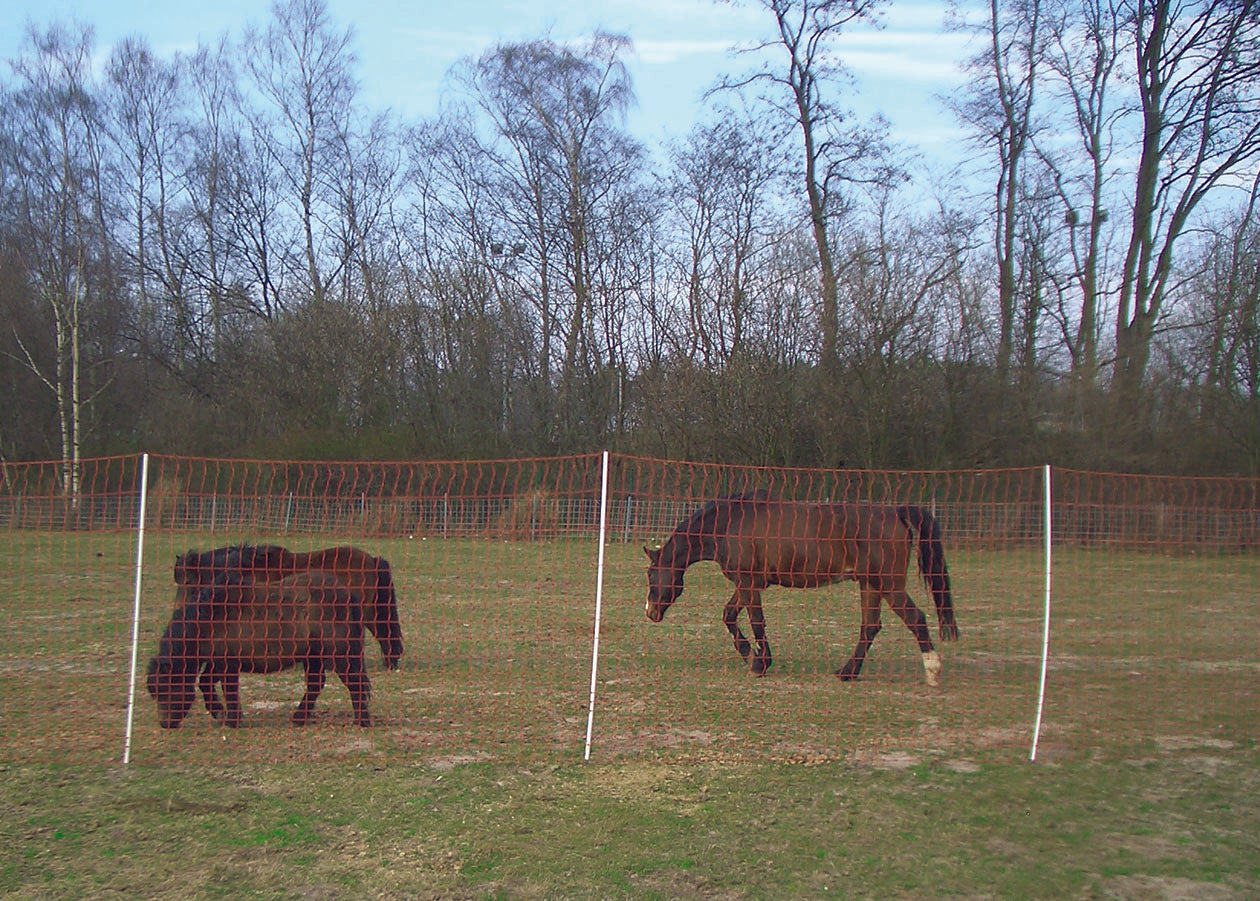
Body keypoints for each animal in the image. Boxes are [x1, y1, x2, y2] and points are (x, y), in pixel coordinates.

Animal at [147, 574, 370, 730]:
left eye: (166, 689)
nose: (165, 724)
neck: (210, 618)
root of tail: (346, 593)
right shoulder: (217, 663)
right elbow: (205, 684)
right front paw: (221, 714)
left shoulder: (227, 665)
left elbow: (229, 690)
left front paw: (232, 719)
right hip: (313, 656)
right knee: (316, 685)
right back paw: (299, 718)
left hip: (338, 655)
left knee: (354, 683)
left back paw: (363, 720)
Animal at [645, 493, 957, 685]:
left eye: (650, 574)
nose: (650, 612)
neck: (729, 523)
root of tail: (895, 512)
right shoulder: (748, 584)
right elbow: (729, 616)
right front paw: (752, 657)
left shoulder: (748, 584)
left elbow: (756, 622)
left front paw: (760, 663)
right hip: (870, 585)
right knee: (870, 627)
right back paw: (847, 673)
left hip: (889, 585)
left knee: (915, 619)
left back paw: (932, 671)